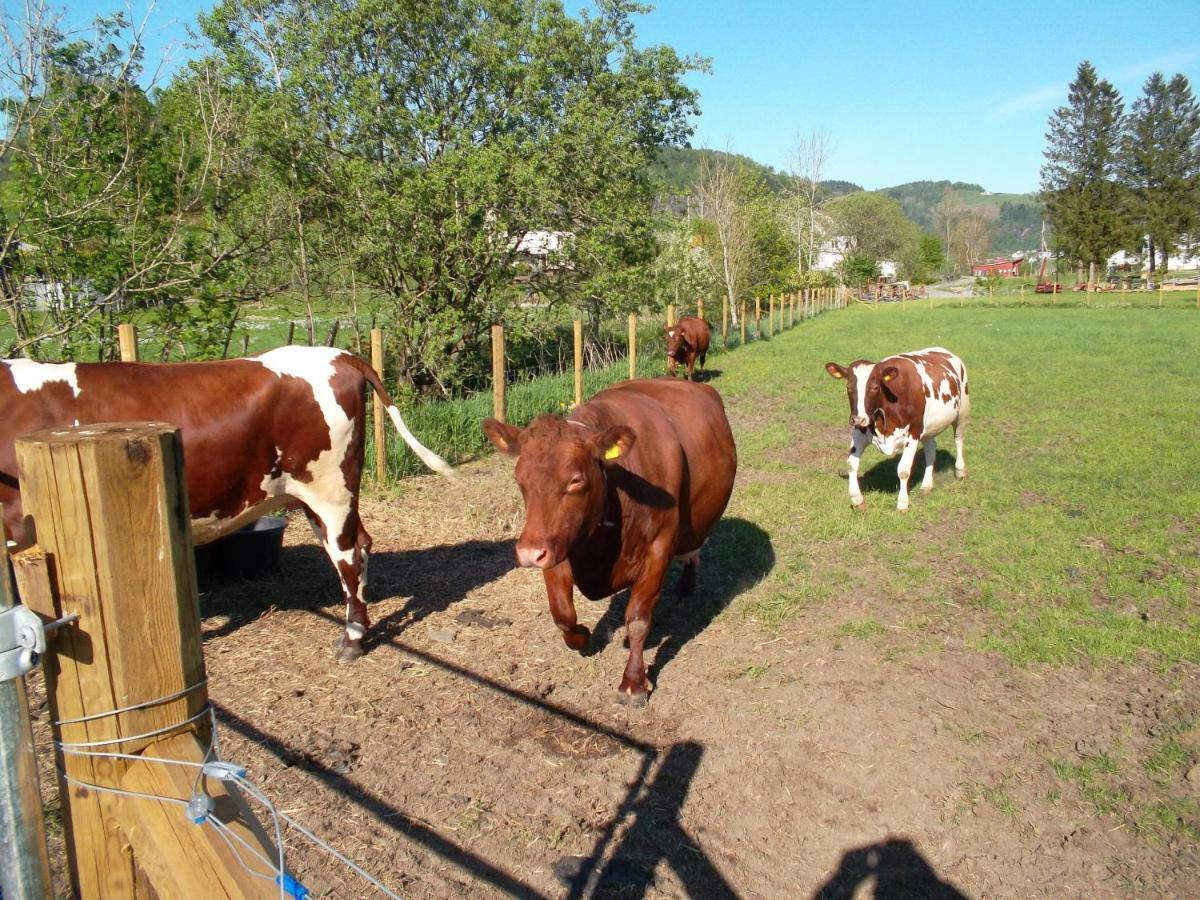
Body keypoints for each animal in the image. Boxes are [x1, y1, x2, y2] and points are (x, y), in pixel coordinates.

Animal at [1, 345, 451, 662]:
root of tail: (337, 355)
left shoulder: (19, 524)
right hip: (316, 493)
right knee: (360, 543)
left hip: (330, 488)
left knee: (349, 553)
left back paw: (353, 638)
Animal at [482, 379, 734, 705]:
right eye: (519, 478)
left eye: (576, 480)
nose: (528, 554)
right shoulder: (556, 545)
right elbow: (562, 614)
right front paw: (582, 636)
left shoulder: (658, 549)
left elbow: (638, 619)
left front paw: (633, 682)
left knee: (693, 551)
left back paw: (686, 585)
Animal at [825, 348, 964, 511]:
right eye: (848, 388)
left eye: (875, 388)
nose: (858, 419)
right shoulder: (860, 432)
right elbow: (851, 463)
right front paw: (857, 499)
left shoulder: (913, 434)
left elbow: (903, 470)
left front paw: (902, 503)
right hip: (927, 426)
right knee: (931, 449)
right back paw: (926, 485)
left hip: (962, 412)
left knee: (958, 439)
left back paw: (960, 471)